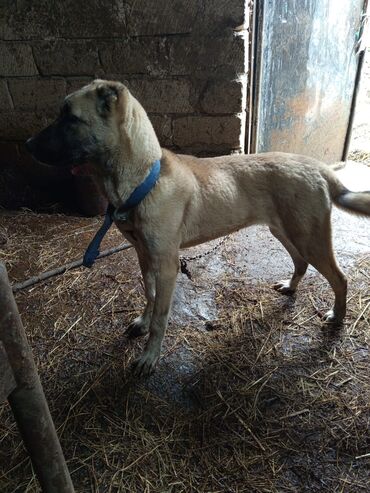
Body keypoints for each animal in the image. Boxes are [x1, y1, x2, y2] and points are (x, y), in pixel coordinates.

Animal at [26, 79, 370, 374]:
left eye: (69, 117)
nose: (27, 144)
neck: (144, 180)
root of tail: (321, 168)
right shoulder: (144, 255)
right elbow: (149, 294)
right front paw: (142, 322)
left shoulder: (167, 264)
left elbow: (161, 317)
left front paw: (150, 356)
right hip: (285, 232)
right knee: (300, 263)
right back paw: (291, 287)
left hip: (311, 238)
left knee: (340, 278)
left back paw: (338, 317)